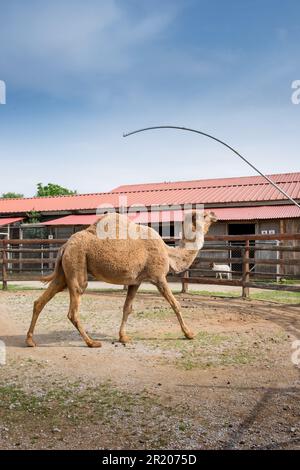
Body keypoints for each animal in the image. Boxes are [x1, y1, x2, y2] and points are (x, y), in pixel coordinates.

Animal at [25, 210, 217, 348]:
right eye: (204, 215)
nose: (215, 214)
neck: (169, 254)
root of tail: (64, 246)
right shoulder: (158, 277)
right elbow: (175, 304)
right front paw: (189, 334)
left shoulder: (135, 281)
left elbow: (127, 308)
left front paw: (123, 337)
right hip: (77, 263)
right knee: (73, 307)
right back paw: (91, 342)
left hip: (65, 271)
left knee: (41, 301)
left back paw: (30, 341)